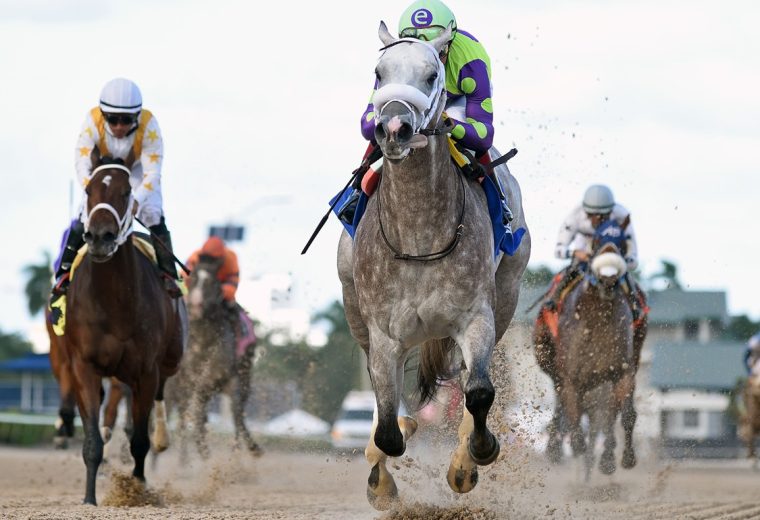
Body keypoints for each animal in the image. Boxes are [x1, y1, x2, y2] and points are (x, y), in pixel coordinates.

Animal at [58, 158, 186, 504]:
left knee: (159, 393)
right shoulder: (84, 365)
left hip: (170, 358)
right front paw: (89, 499)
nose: (101, 236)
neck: (113, 301)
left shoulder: (146, 370)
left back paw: (162, 437)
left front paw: (138, 490)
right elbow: (92, 441)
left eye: (126, 191)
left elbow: (139, 440)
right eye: (88, 189)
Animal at [165, 253, 260, 460]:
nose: (195, 304)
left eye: (213, 283)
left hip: (245, 379)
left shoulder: (230, 379)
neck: (203, 340)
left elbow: (236, 414)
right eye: (192, 279)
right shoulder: (189, 381)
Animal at [336, 23, 528, 508]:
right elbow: (387, 428)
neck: (419, 231)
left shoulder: (475, 318)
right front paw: (382, 480)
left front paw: (475, 455)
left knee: (467, 380)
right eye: (379, 73)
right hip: (353, 306)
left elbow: (478, 392)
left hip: (507, 293)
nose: (394, 128)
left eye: (430, 74)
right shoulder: (384, 335)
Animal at [536, 241, 648, 476]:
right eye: (595, 251)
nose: (608, 279)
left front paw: (622, 459)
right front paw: (577, 446)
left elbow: (625, 414)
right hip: (548, 360)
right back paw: (556, 449)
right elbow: (573, 411)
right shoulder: (570, 376)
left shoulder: (622, 371)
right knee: (562, 404)